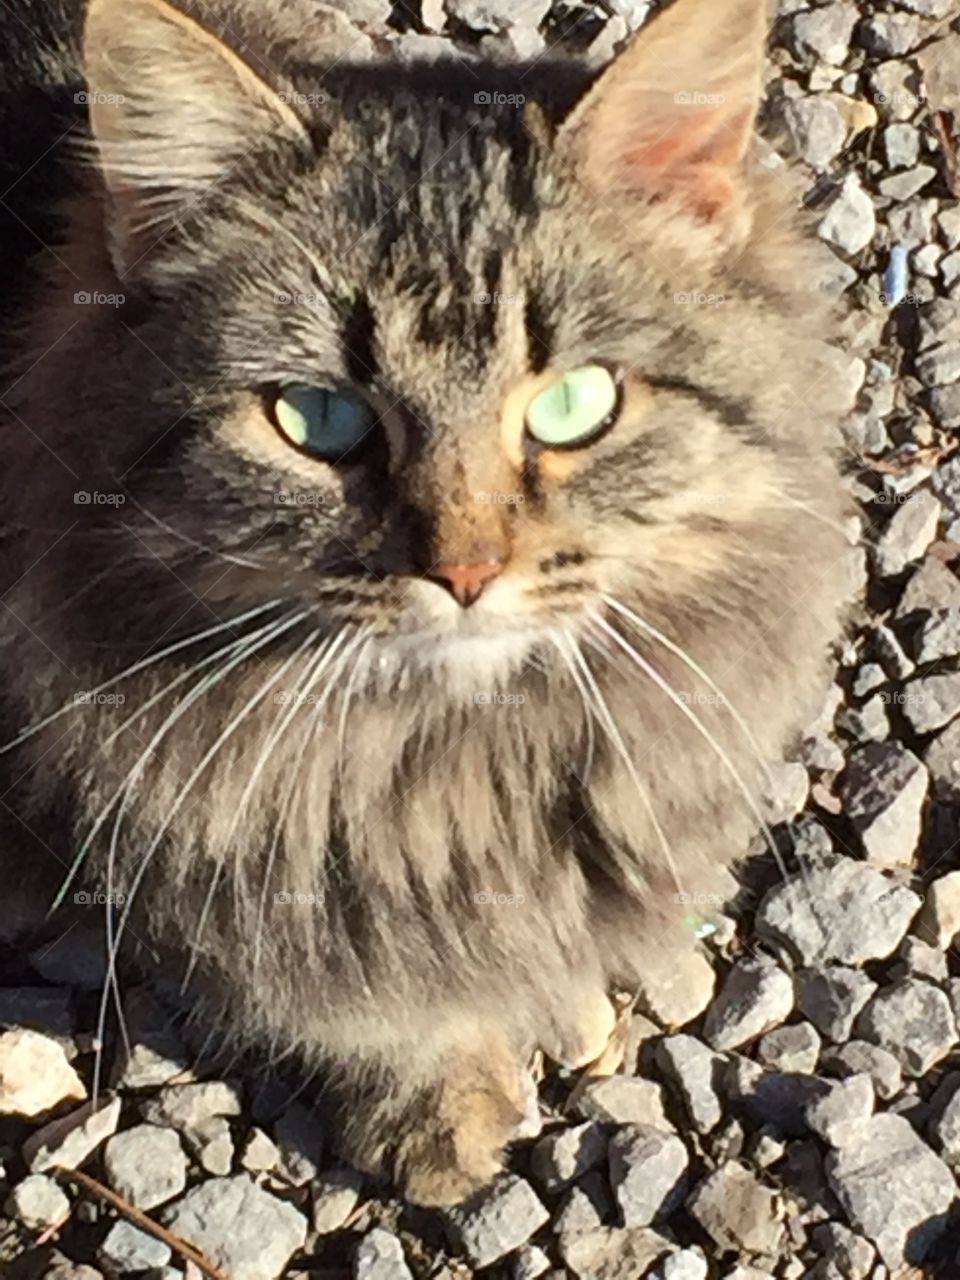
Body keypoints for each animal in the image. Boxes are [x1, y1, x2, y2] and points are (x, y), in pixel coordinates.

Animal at [0, 0, 855, 1208]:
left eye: (574, 405)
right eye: (316, 418)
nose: (465, 573)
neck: (456, 768)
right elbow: (377, 1010)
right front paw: (437, 1113)